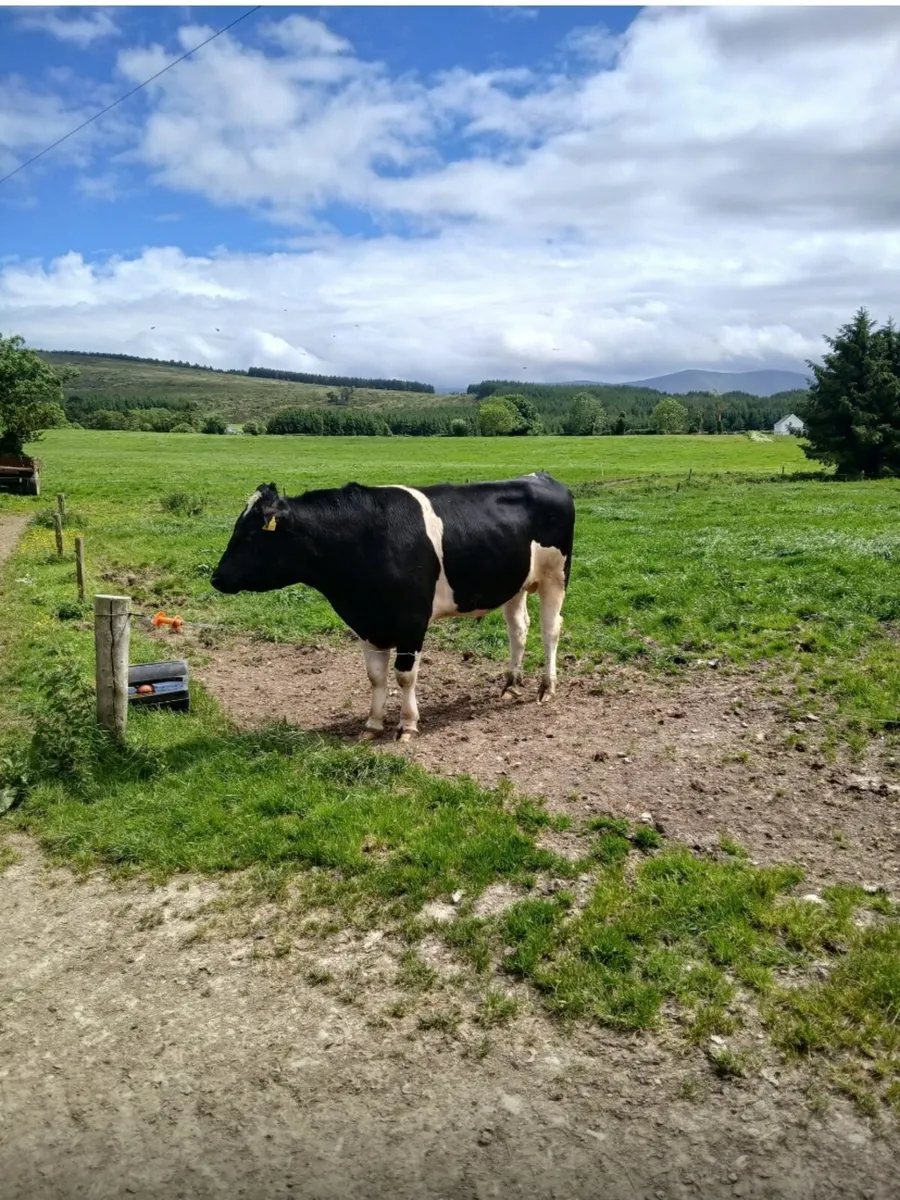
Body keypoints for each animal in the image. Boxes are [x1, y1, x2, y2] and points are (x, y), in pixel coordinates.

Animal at [210, 472, 575, 742]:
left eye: (252, 534)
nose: (216, 577)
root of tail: (542, 477)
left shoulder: (412, 620)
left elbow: (404, 675)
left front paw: (407, 725)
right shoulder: (367, 621)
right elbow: (375, 676)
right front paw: (372, 725)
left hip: (555, 576)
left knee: (550, 629)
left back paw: (546, 687)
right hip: (514, 582)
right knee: (519, 629)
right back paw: (511, 685)